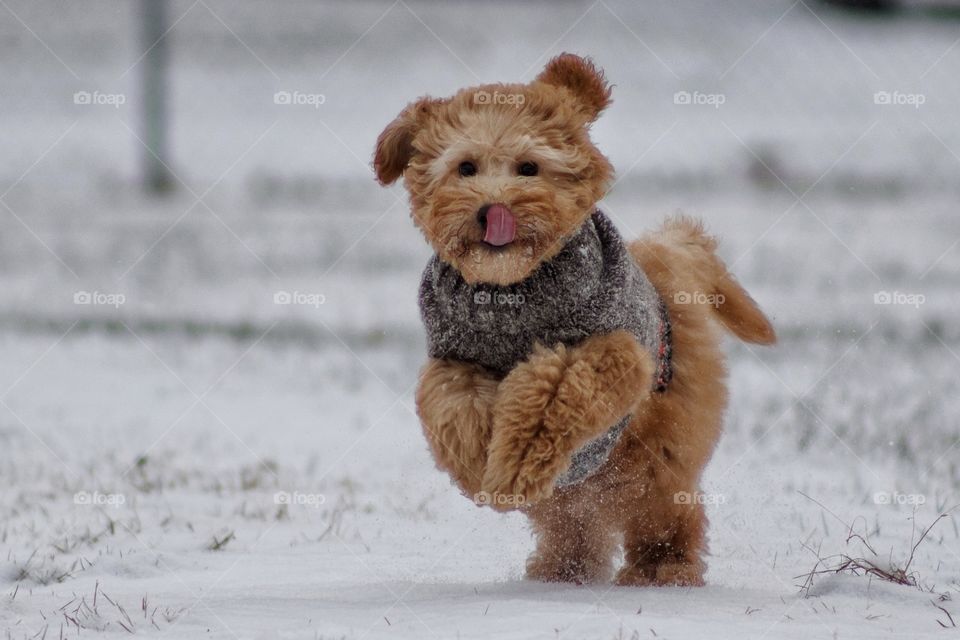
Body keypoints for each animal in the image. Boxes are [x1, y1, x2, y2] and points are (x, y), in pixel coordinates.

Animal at [372, 53, 776, 584]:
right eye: (465, 167)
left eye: (529, 167)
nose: (491, 210)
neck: (513, 291)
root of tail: (666, 258)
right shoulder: (456, 360)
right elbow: (452, 403)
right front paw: (479, 466)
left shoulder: (611, 350)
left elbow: (552, 394)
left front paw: (514, 465)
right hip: (585, 486)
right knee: (573, 516)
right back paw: (563, 568)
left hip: (658, 449)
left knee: (666, 508)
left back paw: (661, 567)